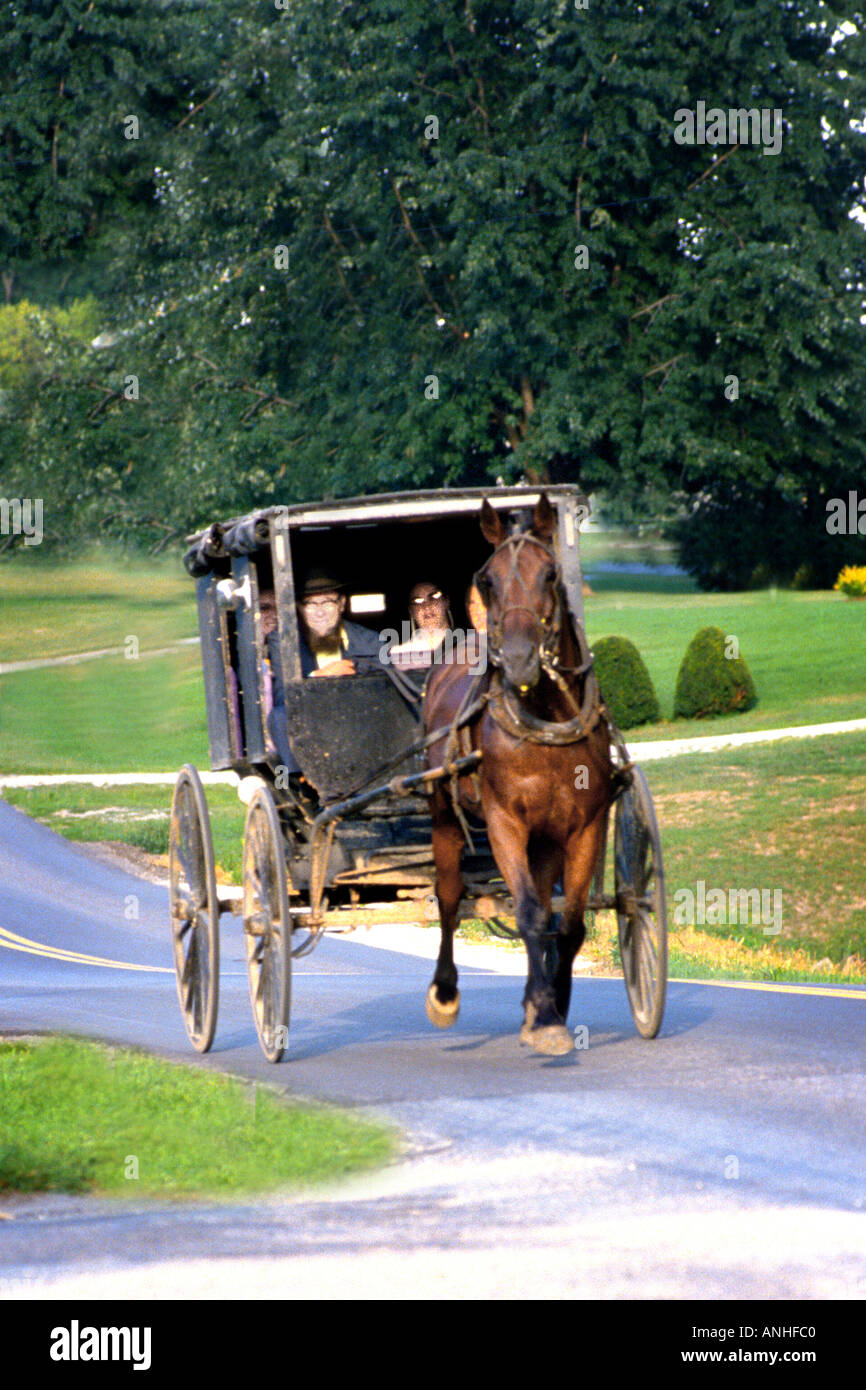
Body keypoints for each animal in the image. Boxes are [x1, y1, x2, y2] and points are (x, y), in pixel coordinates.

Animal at [422, 494, 614, 1045]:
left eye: (550, 573)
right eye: (487, 579)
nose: (519, 660)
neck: (545, 719)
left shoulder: (585, 826)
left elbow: (568, 923)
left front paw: (550, 1004)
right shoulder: (505, 820)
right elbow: (527, 912)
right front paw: (544, 1013)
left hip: (546, 837)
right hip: (444, 815)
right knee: (449, 896)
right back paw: (445, 990)